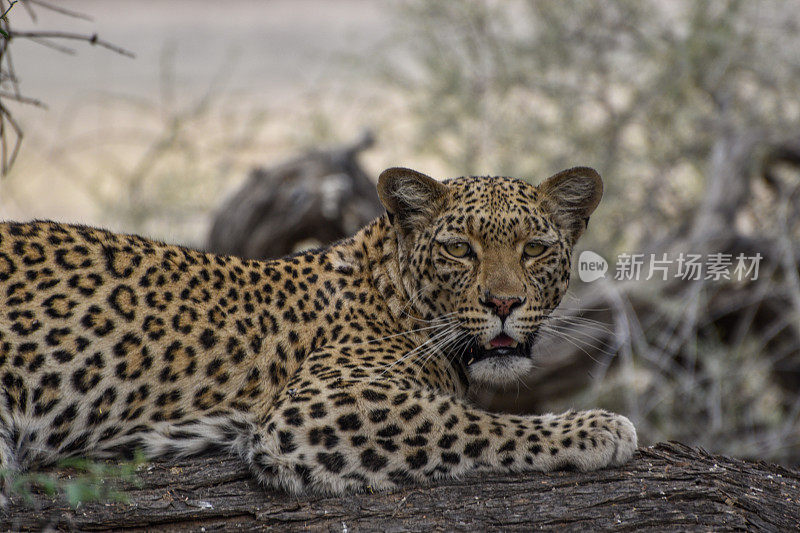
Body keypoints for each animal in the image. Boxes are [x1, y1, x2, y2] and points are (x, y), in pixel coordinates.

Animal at [0, 165, 636, 494]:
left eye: (534, 249)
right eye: (459, 249)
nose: (503, 302)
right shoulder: (322, 403)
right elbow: (477, 423)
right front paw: (597, 428)